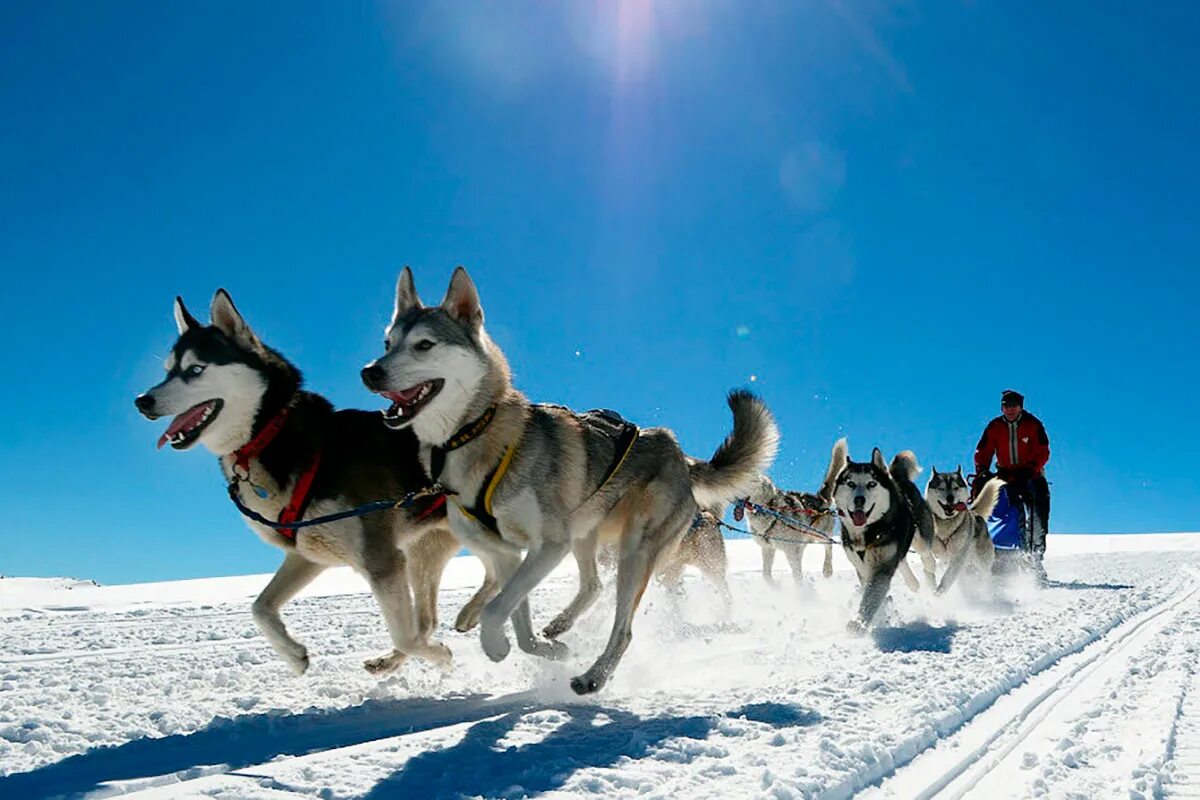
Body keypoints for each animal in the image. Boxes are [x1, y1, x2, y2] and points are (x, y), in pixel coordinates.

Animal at [135, 287, 482, 676]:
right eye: (167, 371)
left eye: (195, 370)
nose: (142, 401)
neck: (273, 435)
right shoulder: (308, 554)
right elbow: (259, 607)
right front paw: (293, 654)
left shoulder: (382, 560)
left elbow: (407, 636)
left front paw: (443, 655)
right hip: (426, 551)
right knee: (429, 619)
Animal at [360, 268, 782, 695]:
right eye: (387, 343)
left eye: (424, 344)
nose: (370, 371)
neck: (477, 435)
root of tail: (679, 453)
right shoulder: (508, 555)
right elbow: (515, 616)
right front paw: (547, 651)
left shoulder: (548, 545)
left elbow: (497, 611)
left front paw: (496, 646)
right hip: (586, 532)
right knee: (593, 585)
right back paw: (561, 626)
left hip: (633, 551)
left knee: (623, 628)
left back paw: (593, 677)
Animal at [830, 441, 931, 633]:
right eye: (851, 483)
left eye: (872, 483)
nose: (859, 500)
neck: (868, 532)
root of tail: (896, 478)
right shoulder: (863, 567)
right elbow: (871, 592)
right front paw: (879, 616)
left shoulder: (882, 565)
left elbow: (871, 596)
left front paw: (859, 622)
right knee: (902, 560)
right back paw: (913, 582)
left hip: (921, 539)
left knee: (926, 555)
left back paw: (931, 576)